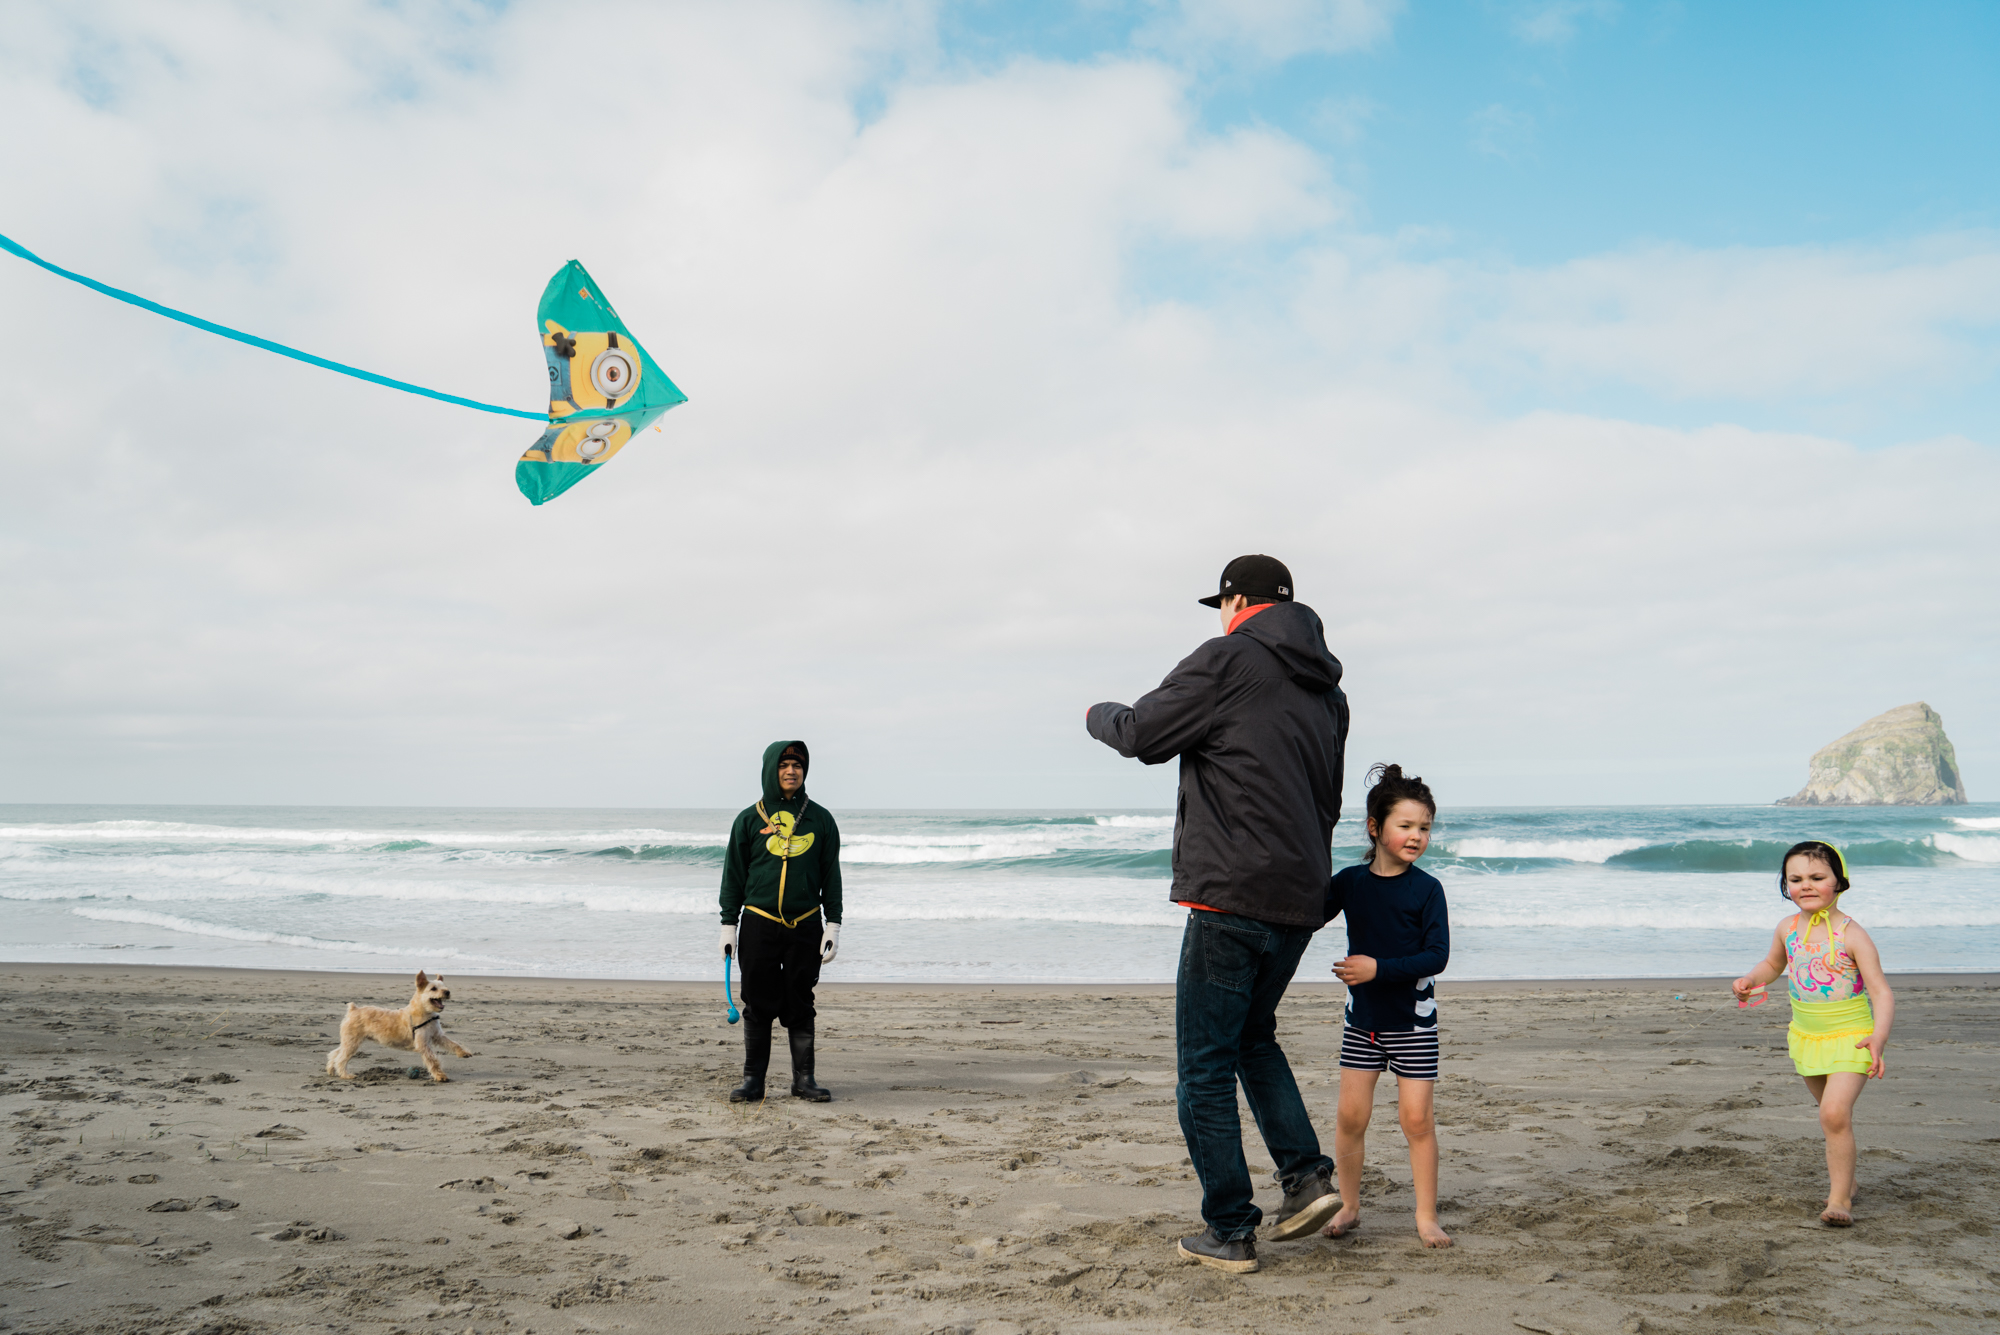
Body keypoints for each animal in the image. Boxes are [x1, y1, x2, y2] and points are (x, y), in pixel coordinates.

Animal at [334, 971, 482, 1087]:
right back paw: (345, 1075)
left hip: (349, 1040)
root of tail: (353, 1009)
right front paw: (440, 1076)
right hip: (352, 1042)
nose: (447, 992)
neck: (425, 1013)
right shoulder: (423, 1044)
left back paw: (331, 1070)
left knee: (334, 1053)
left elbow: (452, 1043)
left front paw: (463, 1053)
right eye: (433, 988)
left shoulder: (438, 1036)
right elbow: (433, 1060)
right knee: (341, 1058)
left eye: (445, 987)